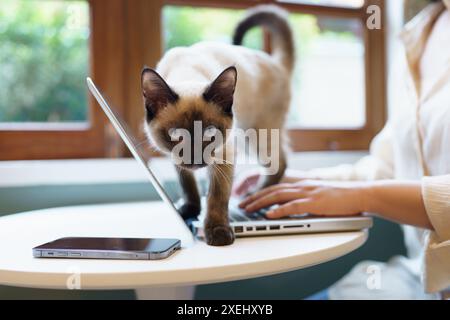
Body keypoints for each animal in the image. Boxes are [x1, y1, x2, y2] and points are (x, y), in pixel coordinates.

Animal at [142, 4, 296, 245]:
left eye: (209, 133)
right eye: (176, 135)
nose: (196, 160)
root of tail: (275, 62)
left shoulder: (224, 154)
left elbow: (216, 197)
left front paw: (218, 232)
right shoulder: (175, 157)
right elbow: (188, 185)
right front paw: (190, 210)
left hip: (255, 136)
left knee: (280, 162)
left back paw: (253, 196)